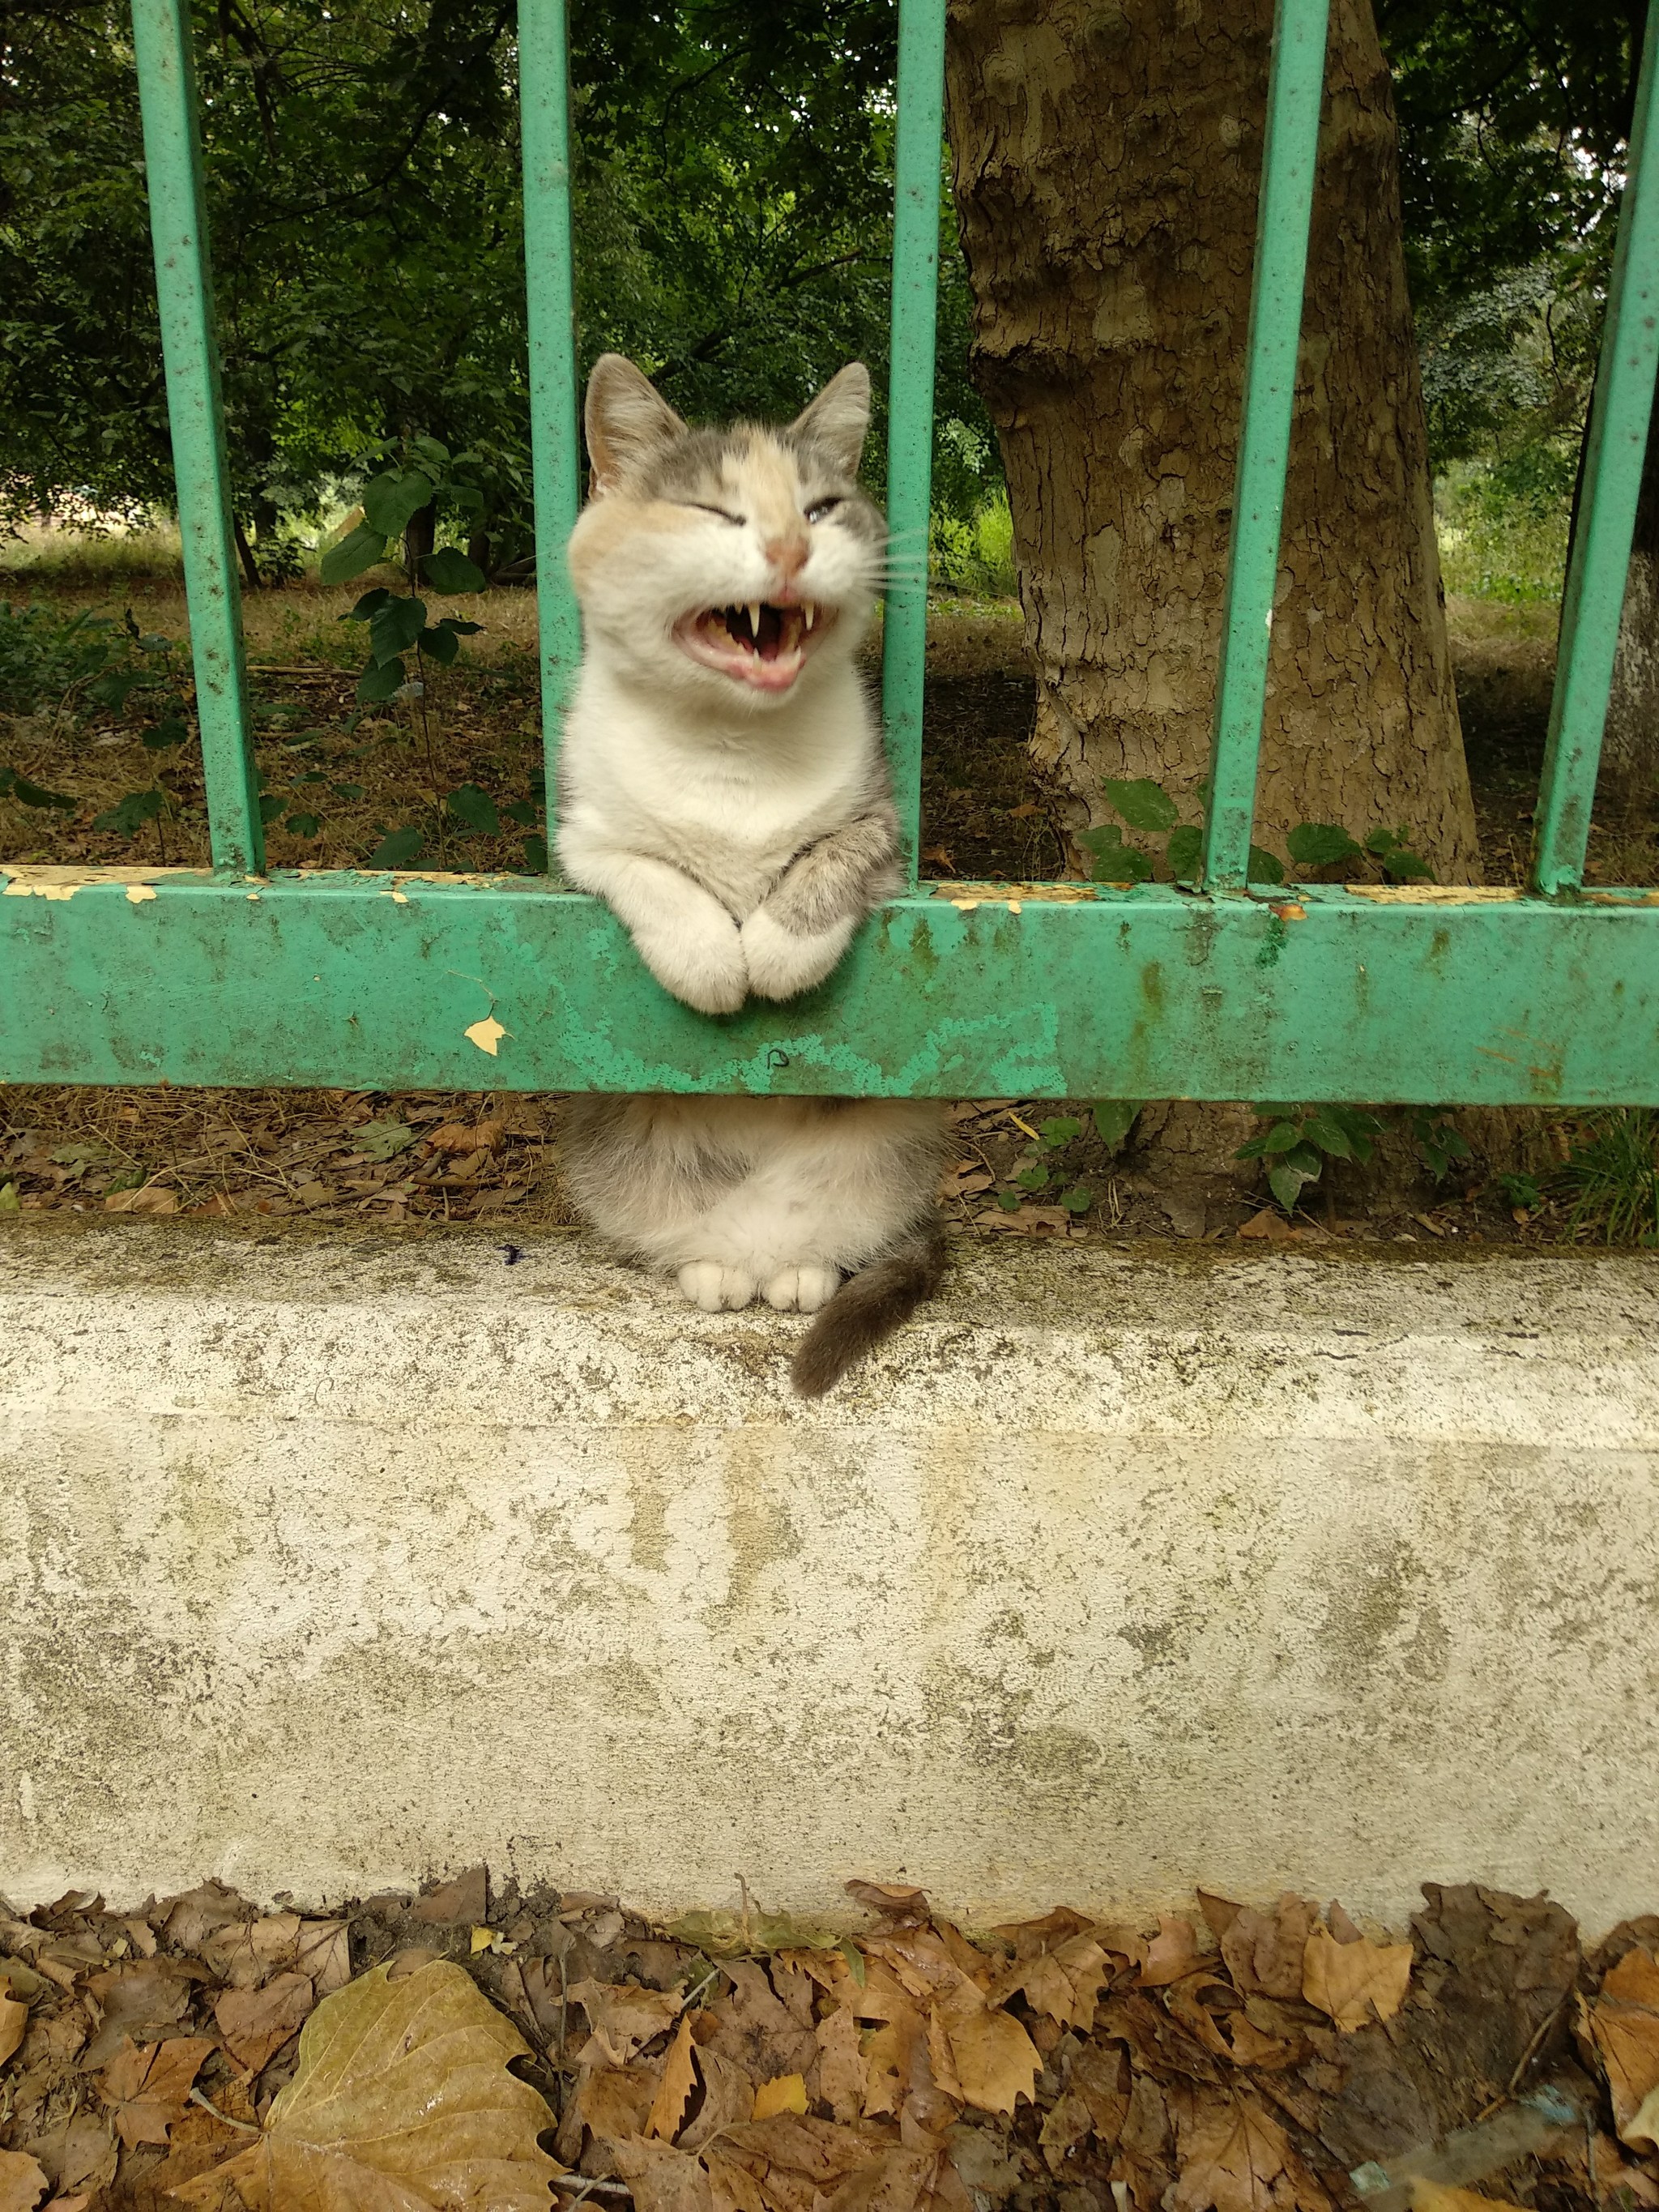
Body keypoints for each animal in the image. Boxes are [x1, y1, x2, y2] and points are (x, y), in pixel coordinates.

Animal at [559, 358, 946, 1398]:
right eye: (712, 512)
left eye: (820, 507)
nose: (786, 546)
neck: (733, 751)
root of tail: (757, 1243)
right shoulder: (580, 839)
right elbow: (657, 873)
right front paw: (711, 960)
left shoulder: (885, 829)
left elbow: (823, 865)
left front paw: (775, 953)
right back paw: (713, 1266)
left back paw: (801, 1270)